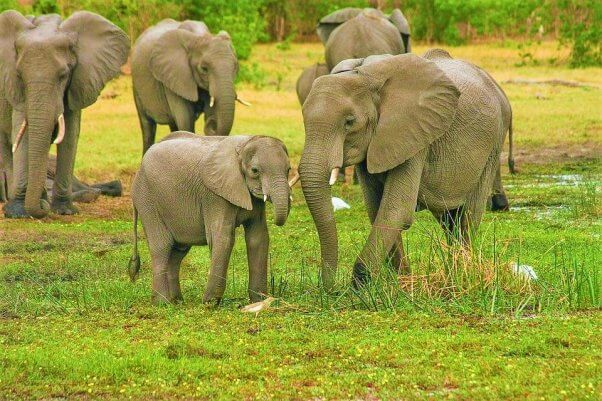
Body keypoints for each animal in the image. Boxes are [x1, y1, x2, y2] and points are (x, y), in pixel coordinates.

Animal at [0, 10, 131, 217]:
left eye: (63, 75)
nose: (42, 208)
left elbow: (70, 135)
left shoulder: (77, 82)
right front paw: (18, 212)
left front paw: (64, 211)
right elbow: (22, 135)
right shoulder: (15, 90)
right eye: (20, 76)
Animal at [127, 131, 292, 304]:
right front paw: (210, 303)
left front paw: (259, 301)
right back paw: (162, 303)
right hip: (147, 200)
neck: (244, 144)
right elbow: (223, 238)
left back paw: (177, 301)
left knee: (178, 251)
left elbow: (258, 238)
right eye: (255, 171)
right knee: (162, 247)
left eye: (288, 169)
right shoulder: (215, 196)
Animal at [131, 18, 246, 154]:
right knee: (147, 126)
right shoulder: (174, 77)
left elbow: (209, 112)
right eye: (204, 69)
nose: (212, 123)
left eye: (236, 67)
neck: (198, 37)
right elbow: (185, 120)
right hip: (136, 86)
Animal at [296, 50, 510, 288]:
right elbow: (377, 209)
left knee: (468, 215)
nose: (330, 288)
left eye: (349, 122)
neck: (364, 75)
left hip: (493, 144)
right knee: (449, 219)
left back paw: (463, 274)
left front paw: (361, 285)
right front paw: (402, 282)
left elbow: (396, 210)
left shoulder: (414, 134)